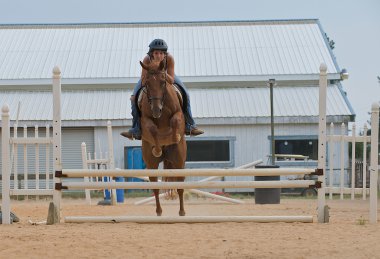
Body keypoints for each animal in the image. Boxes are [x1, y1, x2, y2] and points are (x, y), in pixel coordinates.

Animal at [139, 60, 188, 216]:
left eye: (162, 82)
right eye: (147, 83)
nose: (156, 110)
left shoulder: (178, 113)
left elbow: (175, 121)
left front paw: (175, 136)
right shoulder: (145, 119)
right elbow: (152, 128)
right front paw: (157, 149)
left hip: (179, 162)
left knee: (180, 186)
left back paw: (182, 212)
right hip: (151, 165)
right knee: (155, 187)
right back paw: (159, 211)